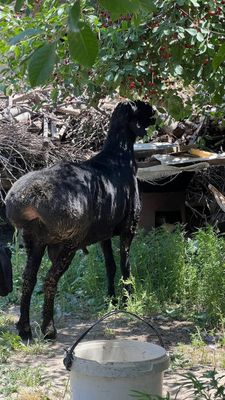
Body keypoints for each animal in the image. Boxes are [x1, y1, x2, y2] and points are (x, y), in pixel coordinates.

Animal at [6, 101, 156, 340]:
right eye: (142, 106)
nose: (155, 112)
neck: (118, 155)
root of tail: (28, 199)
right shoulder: (128, 228)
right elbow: (125, 266)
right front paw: (128, 300)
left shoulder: (104, 234)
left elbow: (110, 265)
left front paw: (111, 299)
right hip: (67, 242)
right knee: (50, 280)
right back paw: (49, 329)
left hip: (34, 241)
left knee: (28, 279)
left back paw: (25, 329)